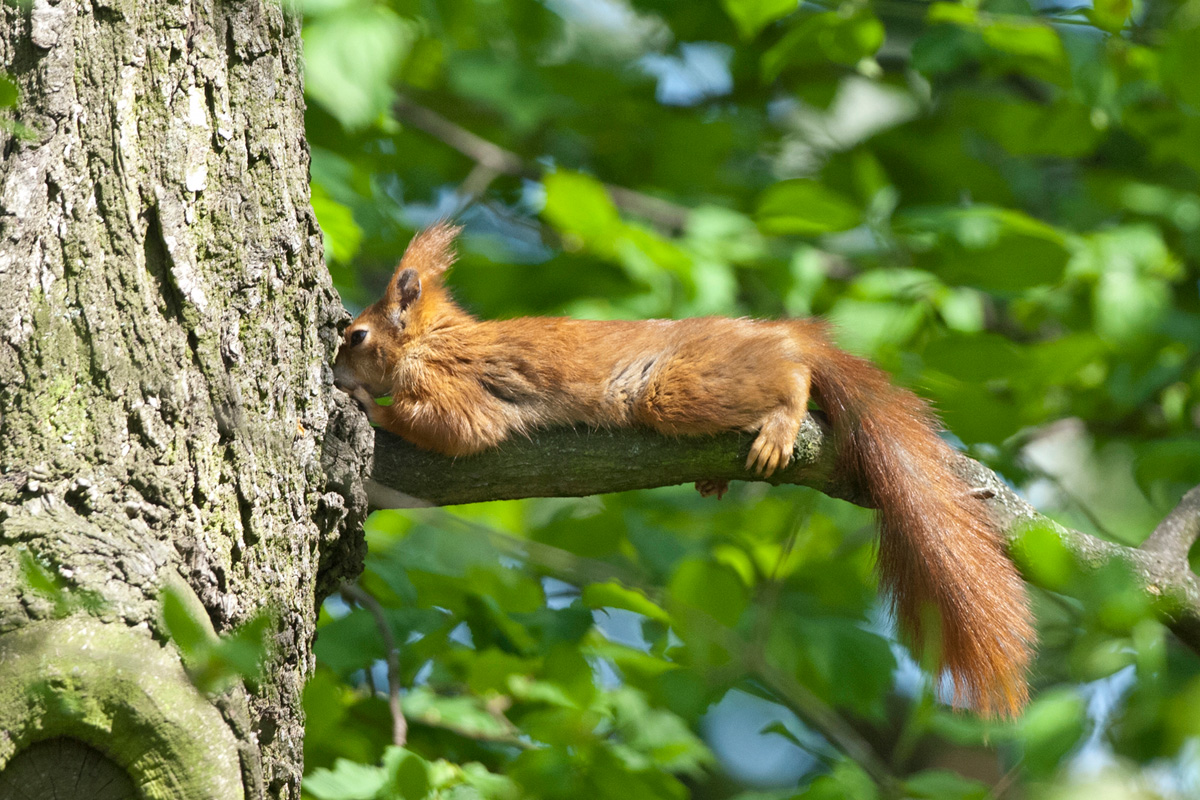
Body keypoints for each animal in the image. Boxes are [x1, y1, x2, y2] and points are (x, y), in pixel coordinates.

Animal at [333, 221, 1036, 714]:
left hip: (676, 388)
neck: (434, 340)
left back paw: (783, 414)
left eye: (356, 335)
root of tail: (776, 332)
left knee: (791, 375)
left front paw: (370, 406)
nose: (337, 372)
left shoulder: (459, 387)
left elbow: (455, 428)